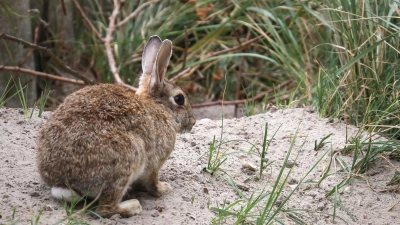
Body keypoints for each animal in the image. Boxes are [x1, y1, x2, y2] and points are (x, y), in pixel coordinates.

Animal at [36, 35, 195, 218]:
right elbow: (152, 182)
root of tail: (64, 183)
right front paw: (164, 188)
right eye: (179, 99)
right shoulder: (155, 163)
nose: (193, 122)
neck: (159, 108)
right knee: (105, 208)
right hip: (128, 157)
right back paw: (133, 206)